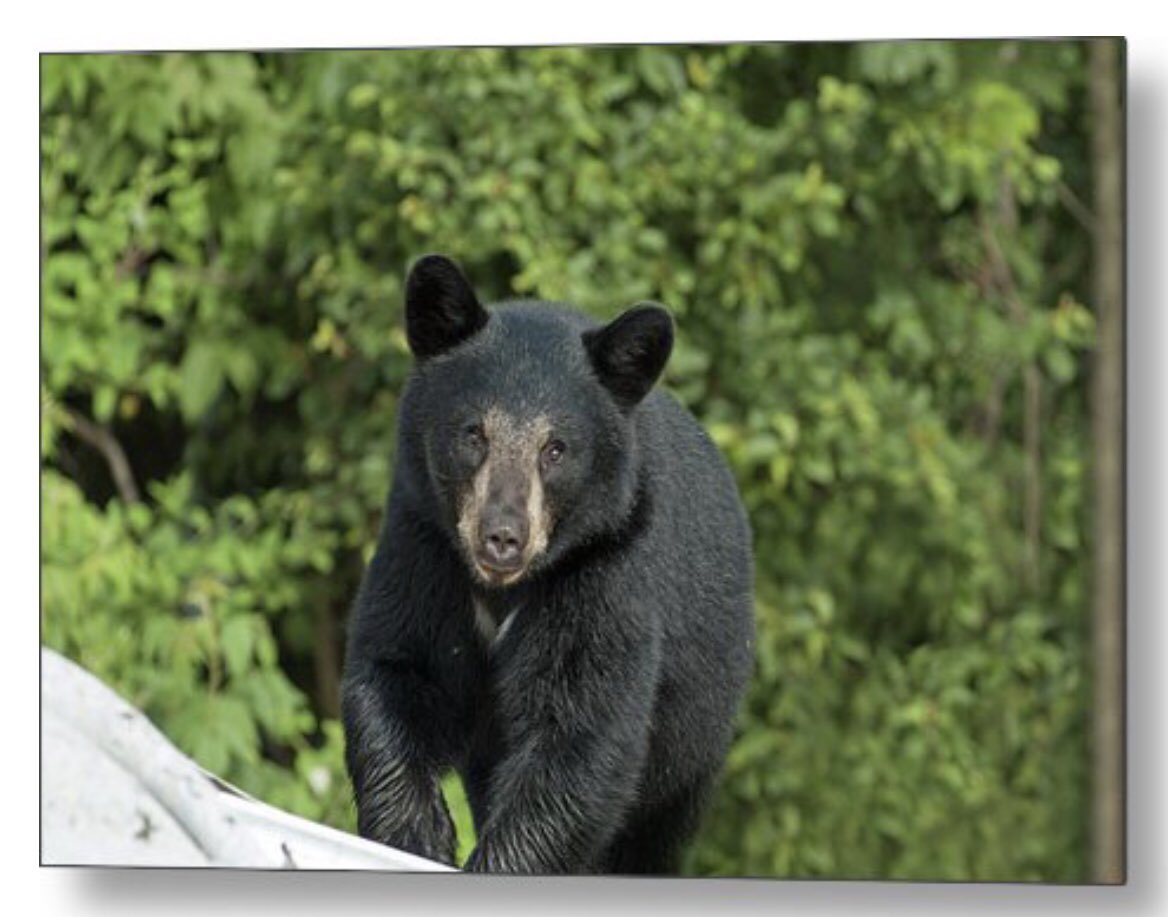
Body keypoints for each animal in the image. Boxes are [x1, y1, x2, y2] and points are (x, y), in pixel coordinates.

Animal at [341, 254, 754, 874]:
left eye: (555, 449)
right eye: (474, 433)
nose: (502, 537)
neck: (502, 588)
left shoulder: (607, 568)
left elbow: (580, 734)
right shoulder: (423, 542)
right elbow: (395, 667)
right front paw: (417, 833)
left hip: (698, 731)